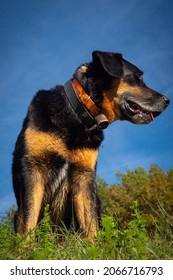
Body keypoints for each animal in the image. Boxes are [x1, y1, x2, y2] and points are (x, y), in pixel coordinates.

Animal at [12, 50, 169, 238]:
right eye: (138, 76)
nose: (167, 101)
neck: (77, 114)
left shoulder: (84, 176)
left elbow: (91, 227)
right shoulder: (34, 168)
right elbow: (28, 223)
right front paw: (25, 247)